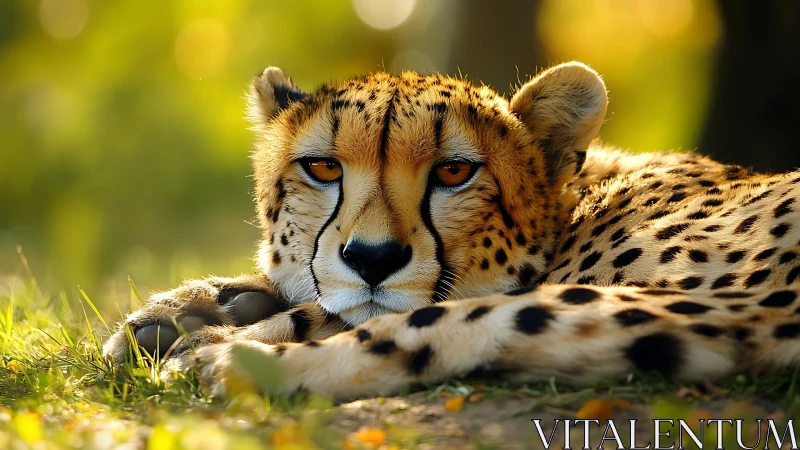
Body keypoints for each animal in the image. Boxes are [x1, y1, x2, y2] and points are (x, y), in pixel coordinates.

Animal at [104, 62, 800, 400]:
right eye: (323, 167)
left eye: (454, 172)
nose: (372, 258)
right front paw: (194, 308)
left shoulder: (752, 303)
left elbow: (416, 318)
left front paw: (216, 338)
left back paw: (224, 360)